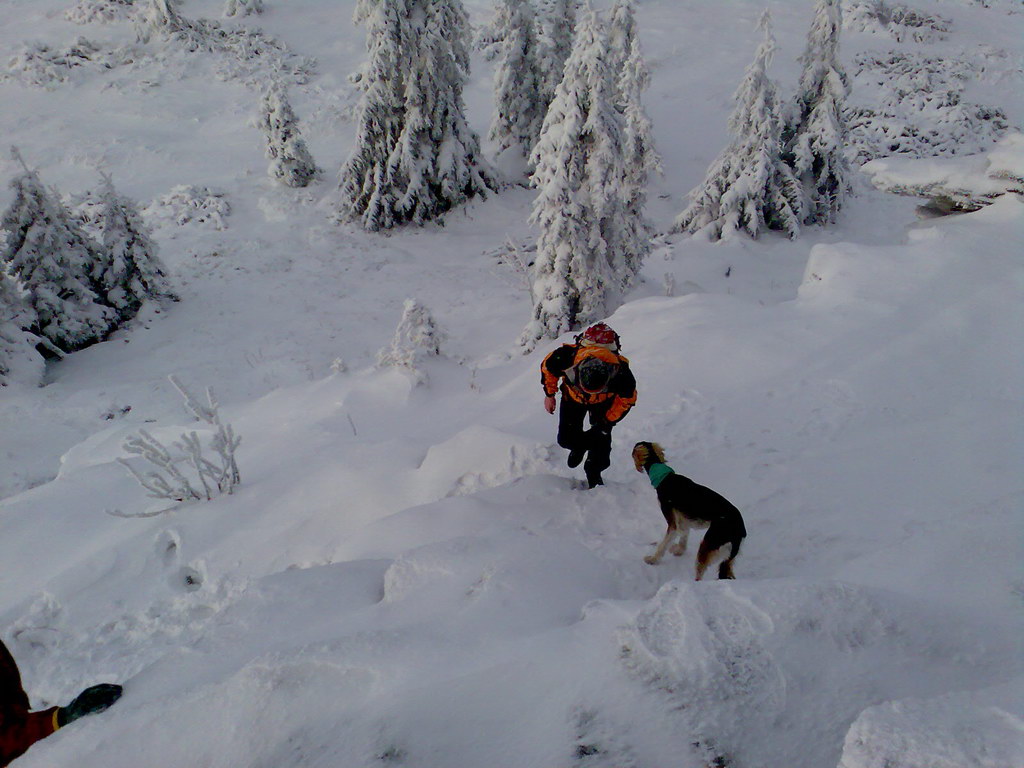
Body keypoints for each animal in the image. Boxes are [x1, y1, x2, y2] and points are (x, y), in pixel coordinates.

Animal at [626, 442, 749, 581]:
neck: (665, 478)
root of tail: (740, 529)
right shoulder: (683, 520)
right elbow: (684, 537)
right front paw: (679, 550)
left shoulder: (672, 523)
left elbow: (663, 545)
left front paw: (653, 559)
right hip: (727, 559)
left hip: (708, 545)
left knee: (699, 574)